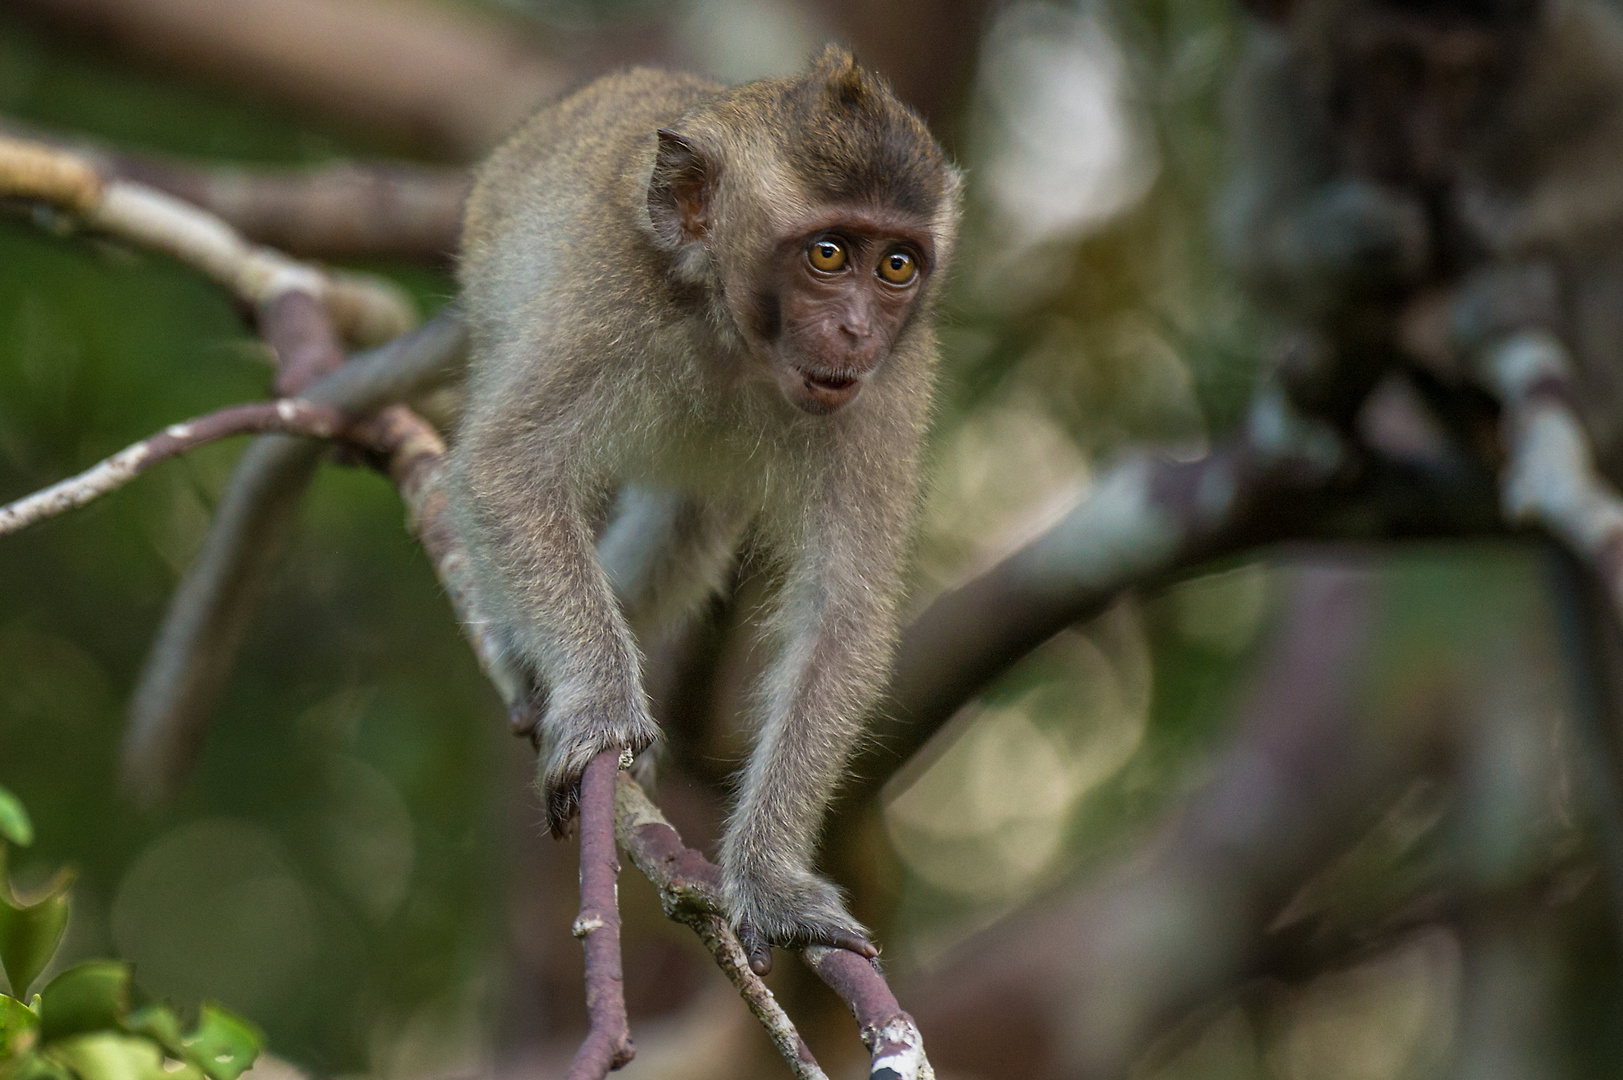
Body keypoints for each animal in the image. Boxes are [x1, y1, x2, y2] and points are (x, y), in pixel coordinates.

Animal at [447, 44, 960, 967]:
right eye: (827, 254)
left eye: (895, 265)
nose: (857, 331)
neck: (735, 337)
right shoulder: (610, 299)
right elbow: (508, 469)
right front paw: (601, 710)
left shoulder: (886, 391)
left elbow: (841, 611)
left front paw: (768, 875)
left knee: (693, 521)